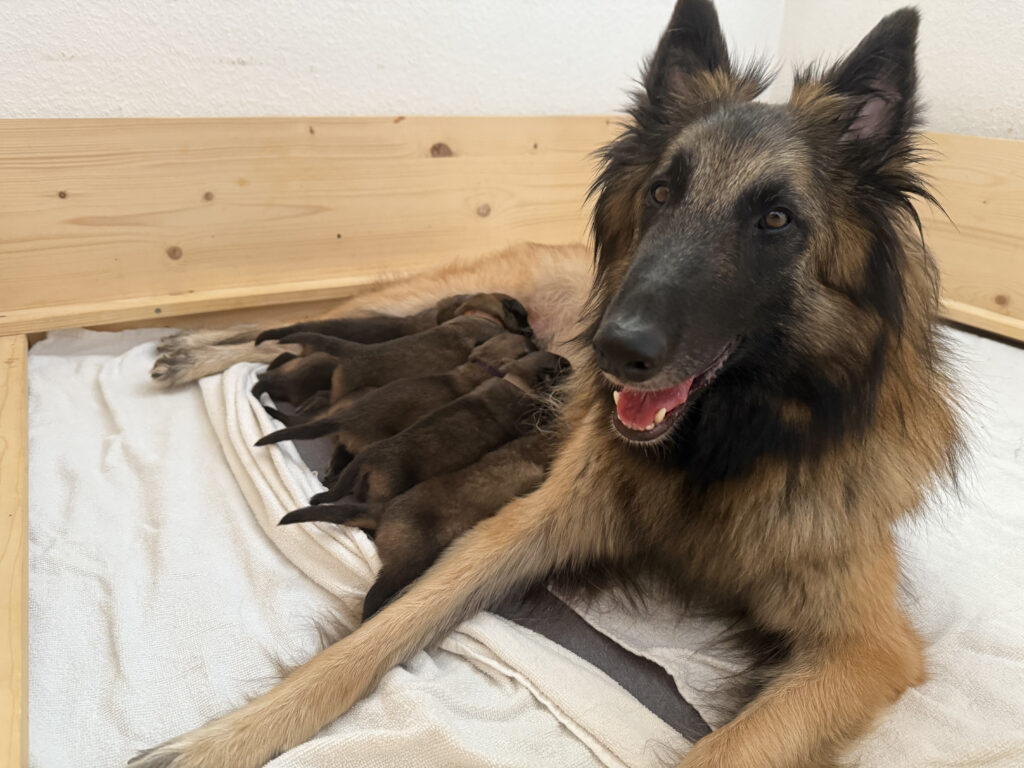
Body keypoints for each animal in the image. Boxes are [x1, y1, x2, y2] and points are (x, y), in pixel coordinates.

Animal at [137, 2, 960, 766]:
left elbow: (729, 746)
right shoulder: (525, 523)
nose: (613, 348)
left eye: (777, 220)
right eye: (661, 194)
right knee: (289, 324)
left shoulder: (864, 649)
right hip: (409, 303)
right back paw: (187, 348)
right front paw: (228, 737)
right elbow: (379, 634)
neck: (721, 448)